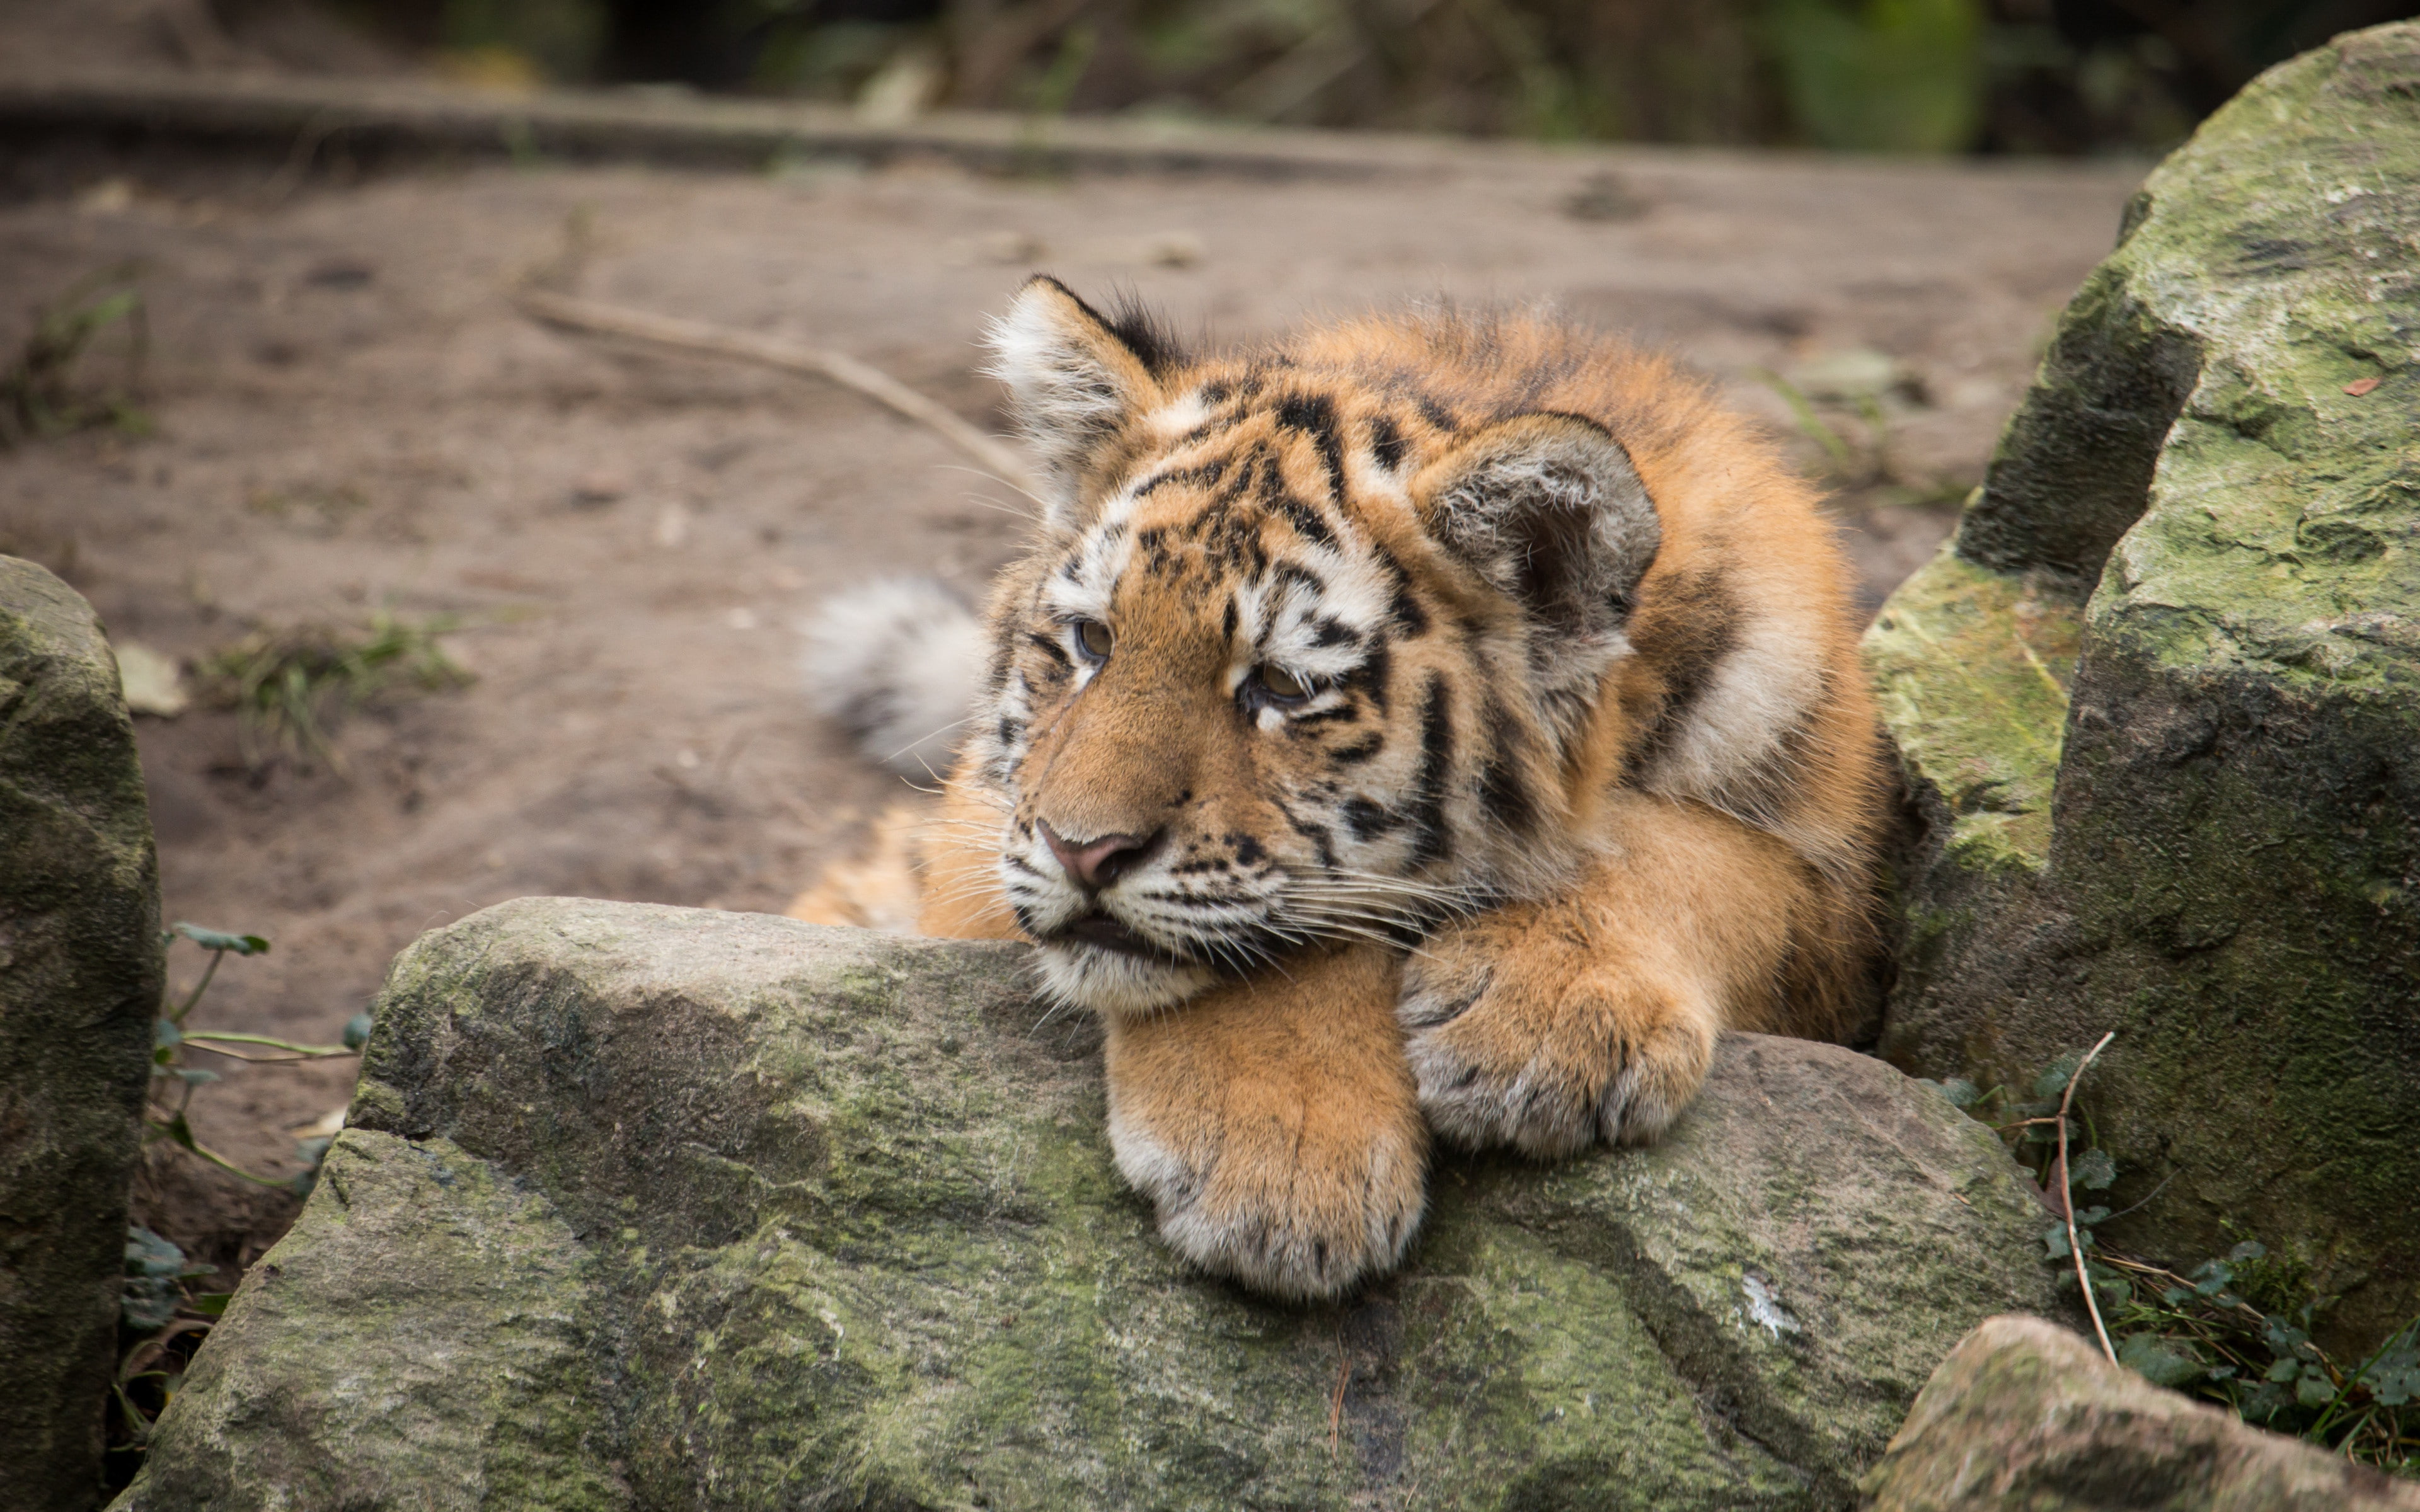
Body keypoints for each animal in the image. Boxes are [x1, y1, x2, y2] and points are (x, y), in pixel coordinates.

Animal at [789, 276, 1890, 1300]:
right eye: (1094, 642)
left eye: (1281, 687)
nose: (1082, 851)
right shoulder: (986, 836)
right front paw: (1279, 1164)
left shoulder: (1843, 911)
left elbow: (1708, 857)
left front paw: (1549, 1018)